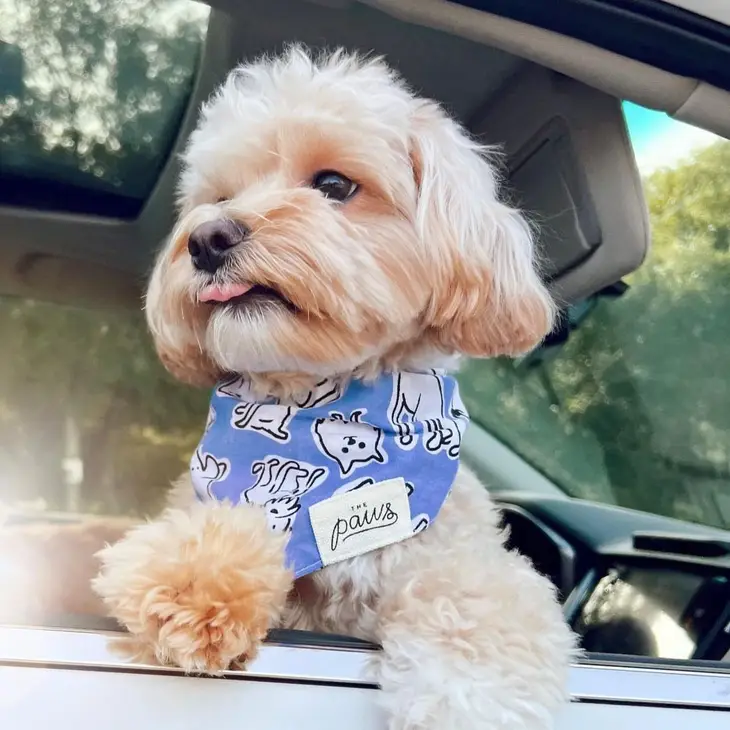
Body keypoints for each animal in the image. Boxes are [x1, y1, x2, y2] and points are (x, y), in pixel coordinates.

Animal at [94, 47, 576, 728]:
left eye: (334, 185)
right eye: (219, 197)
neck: (308, 406)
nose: (207, 238)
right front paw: (193, 581)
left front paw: (468, 699)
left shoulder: (457, 554)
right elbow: (217, 528)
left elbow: (479, 606)